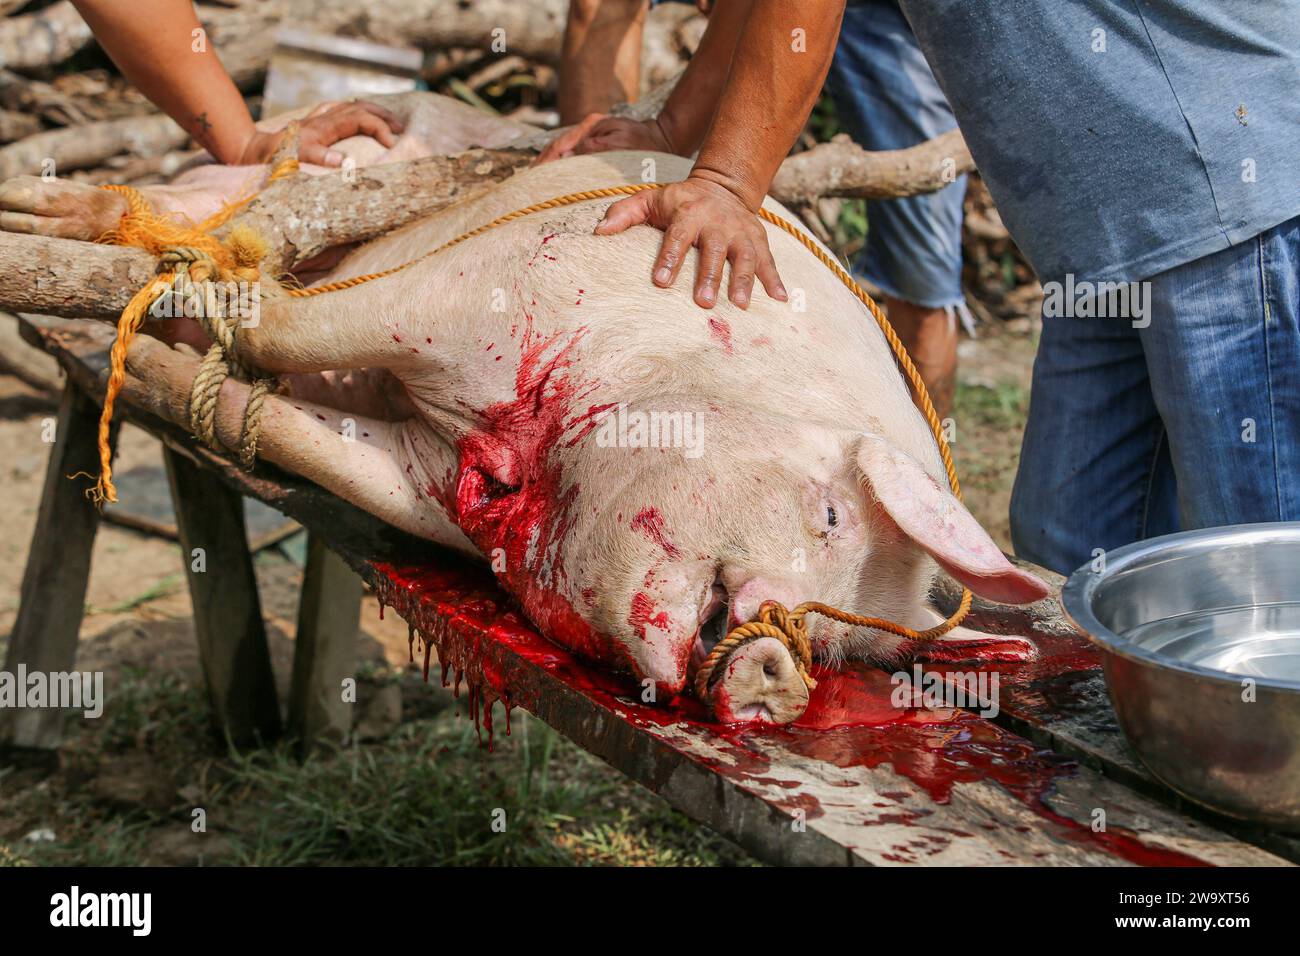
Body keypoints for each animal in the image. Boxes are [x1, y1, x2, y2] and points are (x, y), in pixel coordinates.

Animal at [2, 97, 1045, 723]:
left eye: (833, 645)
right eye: (829, 515)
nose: (776, 672)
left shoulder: (428, 476)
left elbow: (319, 448)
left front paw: (170, 377)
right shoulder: (475, 286)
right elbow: (295, 329)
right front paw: (202, 308)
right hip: (319, 163)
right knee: (199, 201)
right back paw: (68, 228)